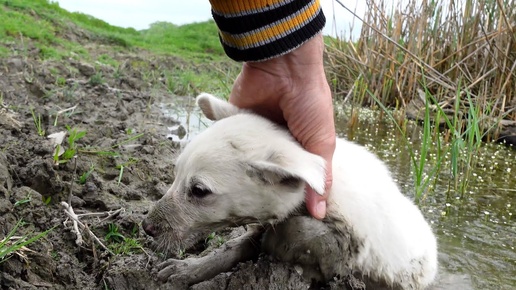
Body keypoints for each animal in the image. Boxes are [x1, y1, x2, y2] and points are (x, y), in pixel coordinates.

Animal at [143, 94, 438, 288]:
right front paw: (188, 269)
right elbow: (231, 248)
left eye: (199, 190)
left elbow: (300, 231)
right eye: (174, 174)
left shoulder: (349, 248)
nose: (146, 227)